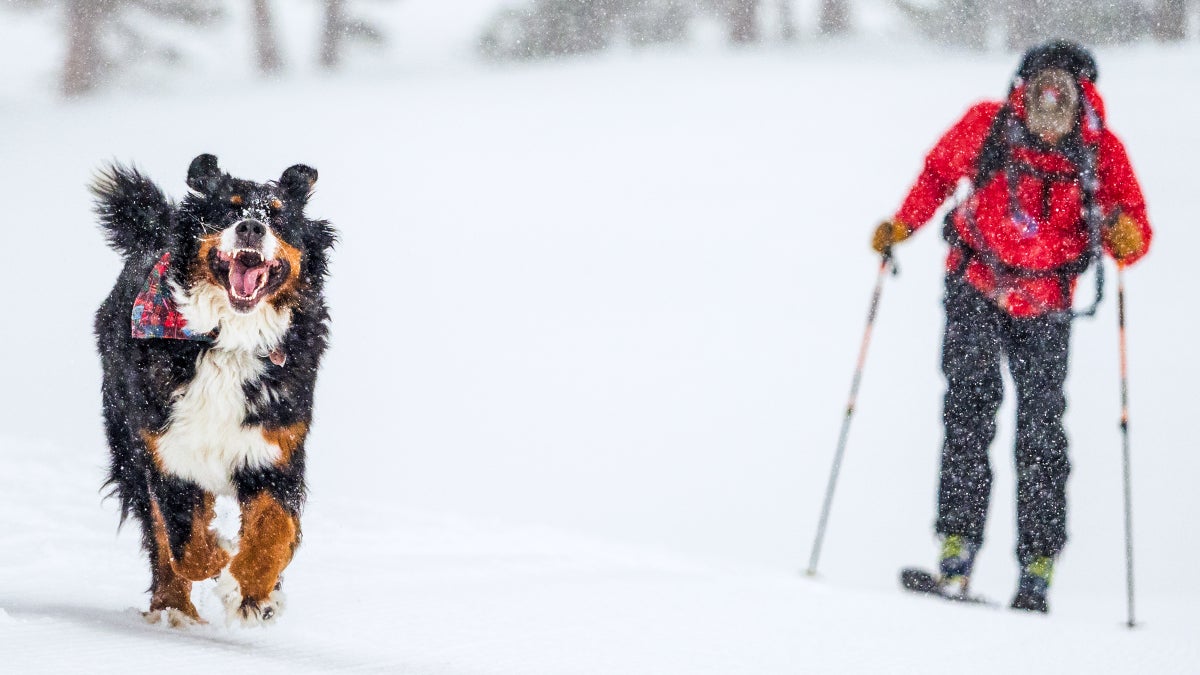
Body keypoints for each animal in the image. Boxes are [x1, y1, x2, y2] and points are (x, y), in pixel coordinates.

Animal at [91, 153, 336, 624]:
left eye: (279, 216)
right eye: (228, 209)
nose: (251, 227)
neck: (229, 341)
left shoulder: (274, 450)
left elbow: (275, 531)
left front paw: (251, 592)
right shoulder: (167, 452)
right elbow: (185, 544)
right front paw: (224, 559)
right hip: (129, 447)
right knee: (160, 541)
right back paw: (174, 610)